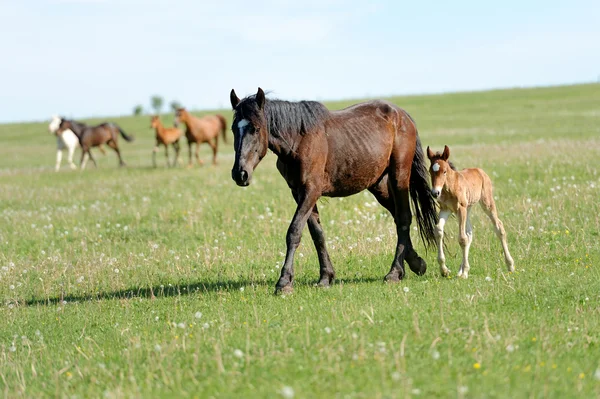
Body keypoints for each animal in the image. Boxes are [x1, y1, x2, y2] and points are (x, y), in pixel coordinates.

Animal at [229, 87, 436, 294]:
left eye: (256, 128)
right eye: (233, 129)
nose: (240, 174)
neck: (298, 140)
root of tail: (403, 115)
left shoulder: (311, 190)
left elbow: (294, 232)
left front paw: (284, 282)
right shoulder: (299, 193)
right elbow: (317, 234)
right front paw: (326, 277)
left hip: (398, 175)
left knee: (403, 217)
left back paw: (394, 272)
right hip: (378, 185)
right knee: (398, 216)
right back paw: (415, 263)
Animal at [426, 145, 516, 280]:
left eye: (444, 171)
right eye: (430, 171)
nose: (435, 193)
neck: (450, 187)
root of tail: (480, 170)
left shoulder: (460, 208)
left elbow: (462, 238)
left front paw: (464, 273)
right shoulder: (445, 209)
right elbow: (438, 230)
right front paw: (444, 270)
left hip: (486, 203)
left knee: (498, 227)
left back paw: (510, 265)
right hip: (468, 208)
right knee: (469, 233)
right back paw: (461, 270)